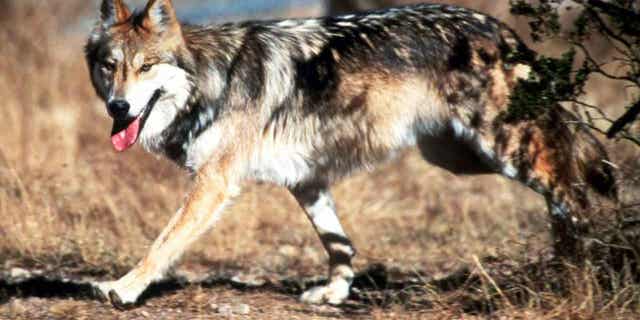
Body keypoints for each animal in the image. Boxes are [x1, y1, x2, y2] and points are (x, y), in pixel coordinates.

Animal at [84, 0, 616, 310]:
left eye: (145, 67)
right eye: (110, 67)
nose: (119, 107)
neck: (211, 81)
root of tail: (498, 26)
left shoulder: (215, 184)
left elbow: (162, 243)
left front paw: (124, 288)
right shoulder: (306, 180)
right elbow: (338, 244)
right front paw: (336, 293)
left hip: (501, 149)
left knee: (572, 187)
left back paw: (590, 268)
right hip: (457, 157)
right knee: (564, 181)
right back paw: (573, 263)